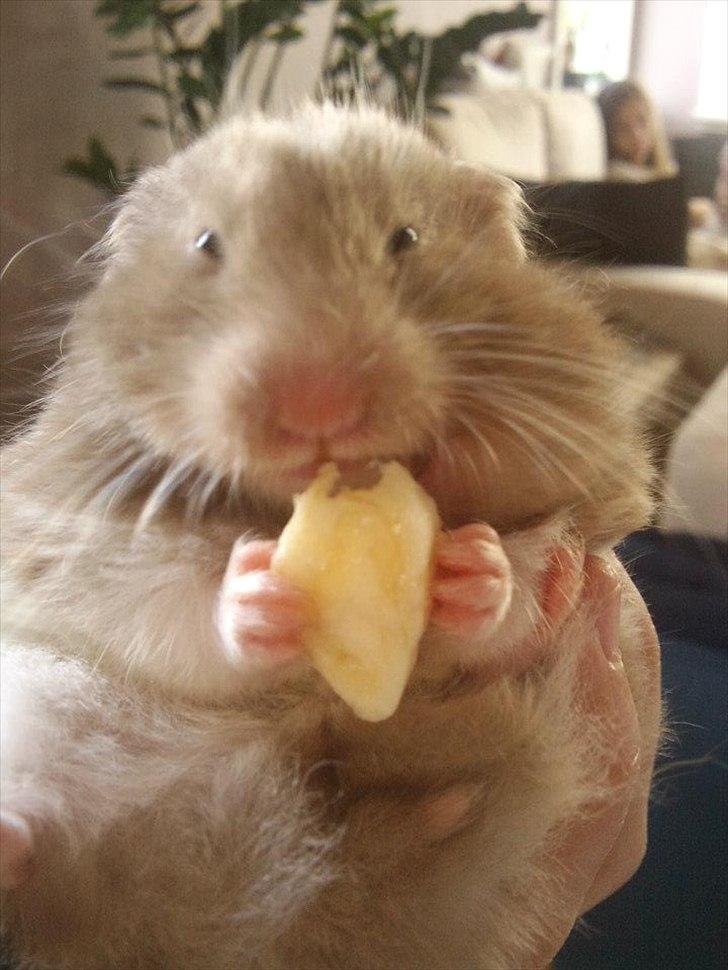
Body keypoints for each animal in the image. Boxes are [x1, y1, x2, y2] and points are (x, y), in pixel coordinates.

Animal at [0, 103, 659, 969]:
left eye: (406, 238)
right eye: (206, 244)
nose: (320, 404)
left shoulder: (568, 539)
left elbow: (513, 596)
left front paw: (474, 572)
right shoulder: (70, 542)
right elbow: (173, 605)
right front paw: (253, 595)